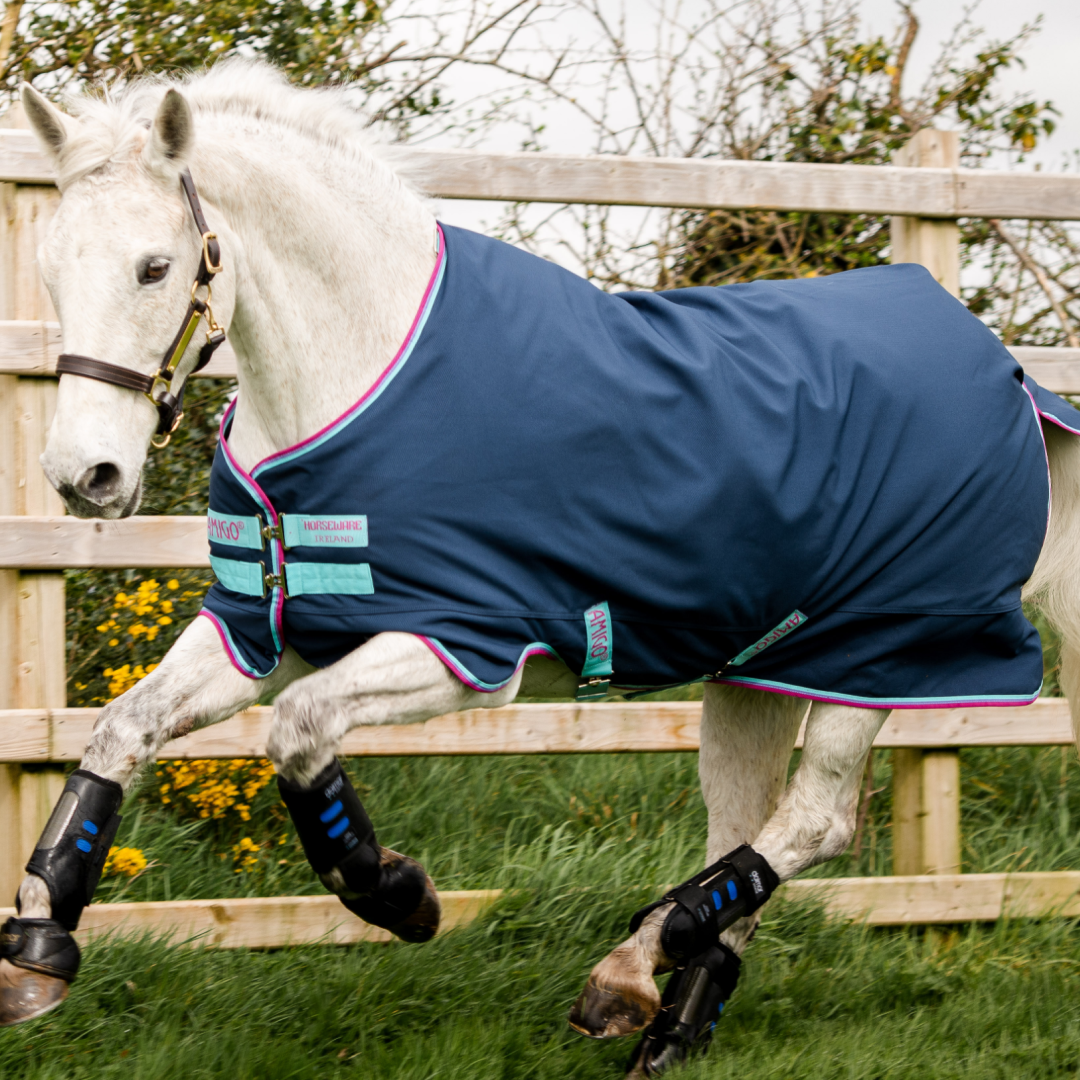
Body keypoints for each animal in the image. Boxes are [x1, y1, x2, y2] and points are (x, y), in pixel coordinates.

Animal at [3, 61, 1080, 1078]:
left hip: (878, 656)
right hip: (759, 670)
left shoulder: (464, 648)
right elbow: (120, 730)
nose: (84, 477)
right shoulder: (259, 631)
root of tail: (1013, 377)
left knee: (815, 823)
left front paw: (398, 895)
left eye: (154, 267)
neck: (358, 380)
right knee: (749, 826)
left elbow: (301, 734)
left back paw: (628, 966)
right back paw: (666, 1017)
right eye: (51, 267)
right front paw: (38, 948)